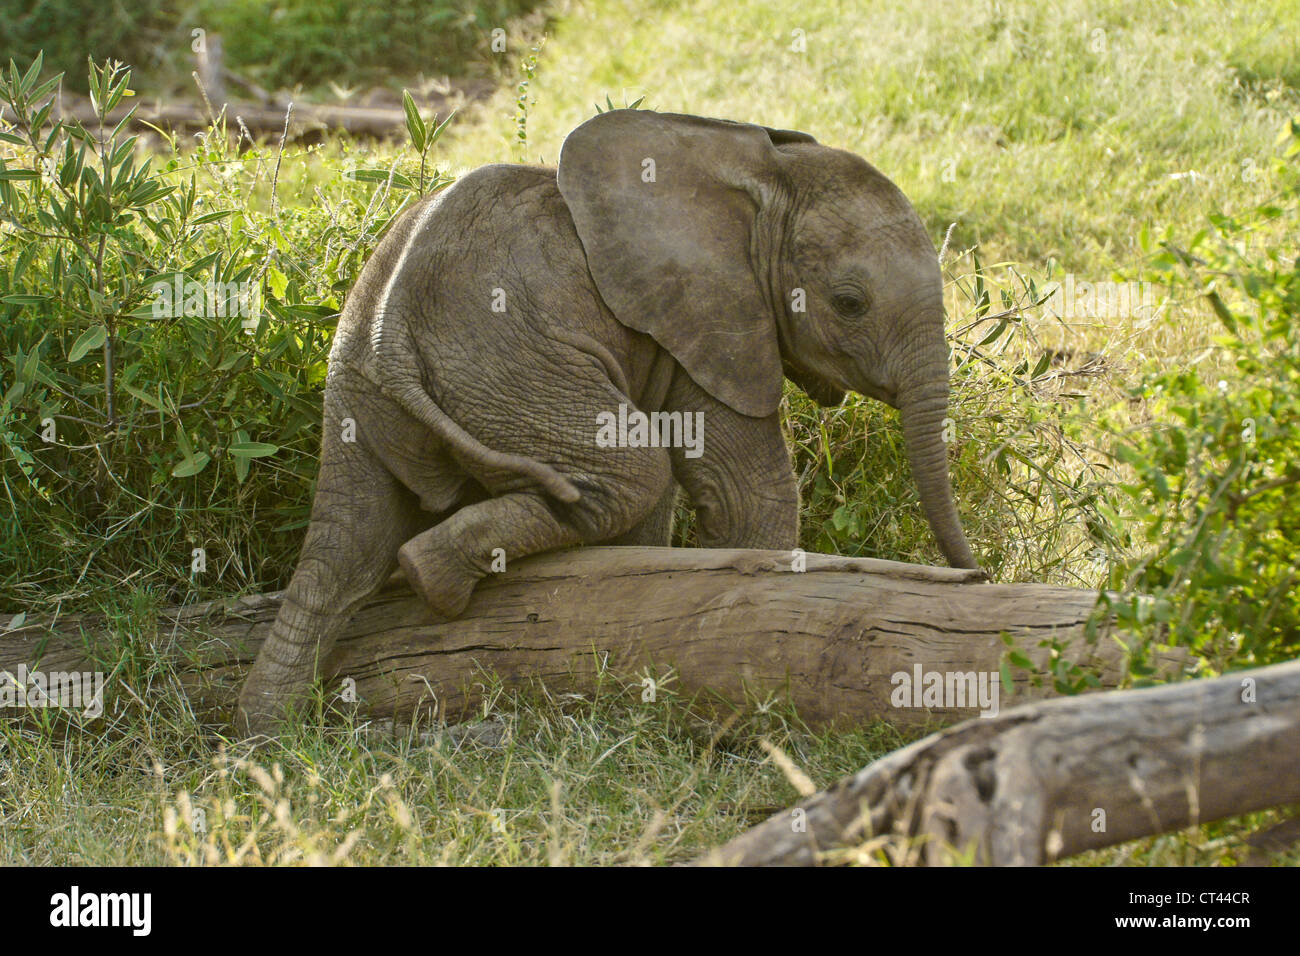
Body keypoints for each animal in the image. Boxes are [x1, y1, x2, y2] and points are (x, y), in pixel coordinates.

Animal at [236, 109, 980, 737]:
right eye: (849, 303)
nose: (975, 578)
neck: (756, 172)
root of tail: (389, 338)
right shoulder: (707, 317)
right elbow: (743, 488)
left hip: (356, 393)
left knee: (343, 550)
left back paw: (268, 729)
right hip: (513, 367)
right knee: (631, 473)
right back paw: (432, 580)